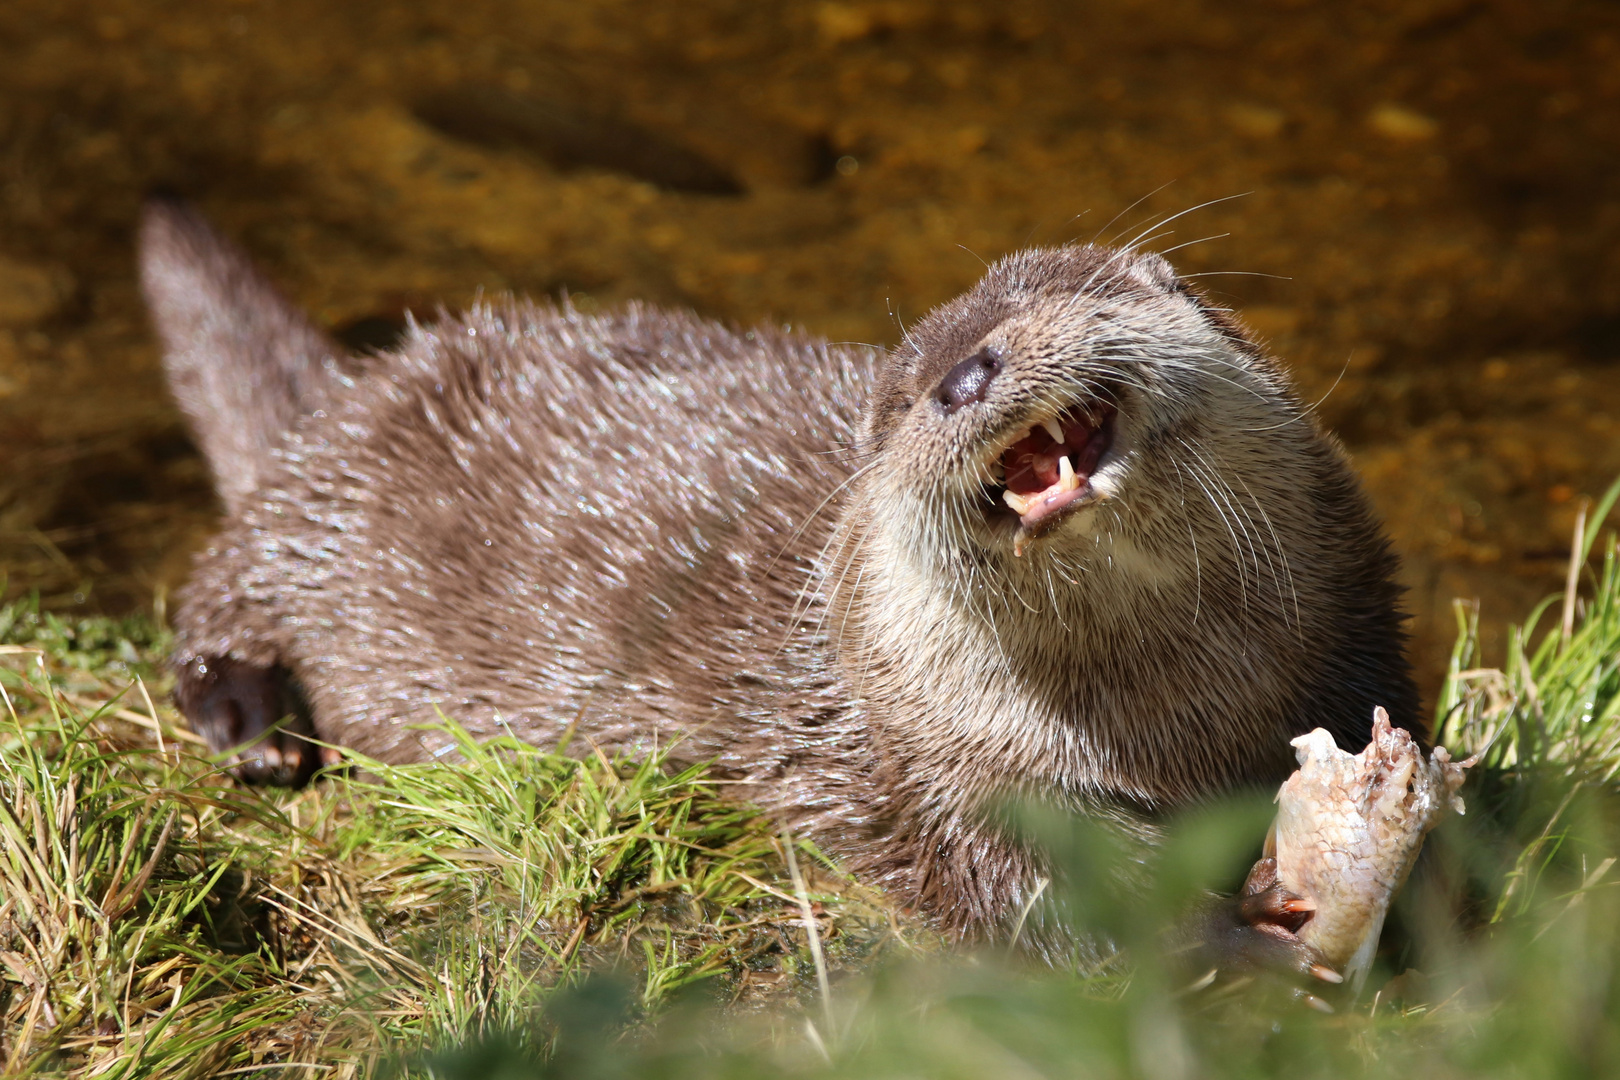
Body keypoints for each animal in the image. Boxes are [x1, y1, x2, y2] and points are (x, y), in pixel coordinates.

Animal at [142, 200, 1419, 952]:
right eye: (895, 401)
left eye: (1046, 299)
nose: (963, 375)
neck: (1168, 720)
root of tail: (359, 384)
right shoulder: (937, 772)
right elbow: (1047, 900)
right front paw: (1237, 938)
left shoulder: (1358, 629)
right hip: (320, 513)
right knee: (218, 582)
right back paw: (249, 720)